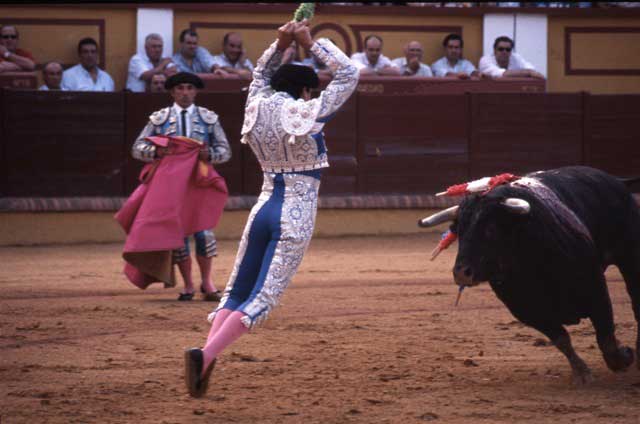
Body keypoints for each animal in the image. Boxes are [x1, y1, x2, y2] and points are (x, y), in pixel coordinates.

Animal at [420, 166, 640, 384]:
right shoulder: (527, 311)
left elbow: (606, 336)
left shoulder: (595, 289)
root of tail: (614, 180)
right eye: (458, 230)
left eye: (491, 228)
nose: (461, 273)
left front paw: (624, 357)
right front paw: (582, 373)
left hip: (630, 256)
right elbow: (561, 339)